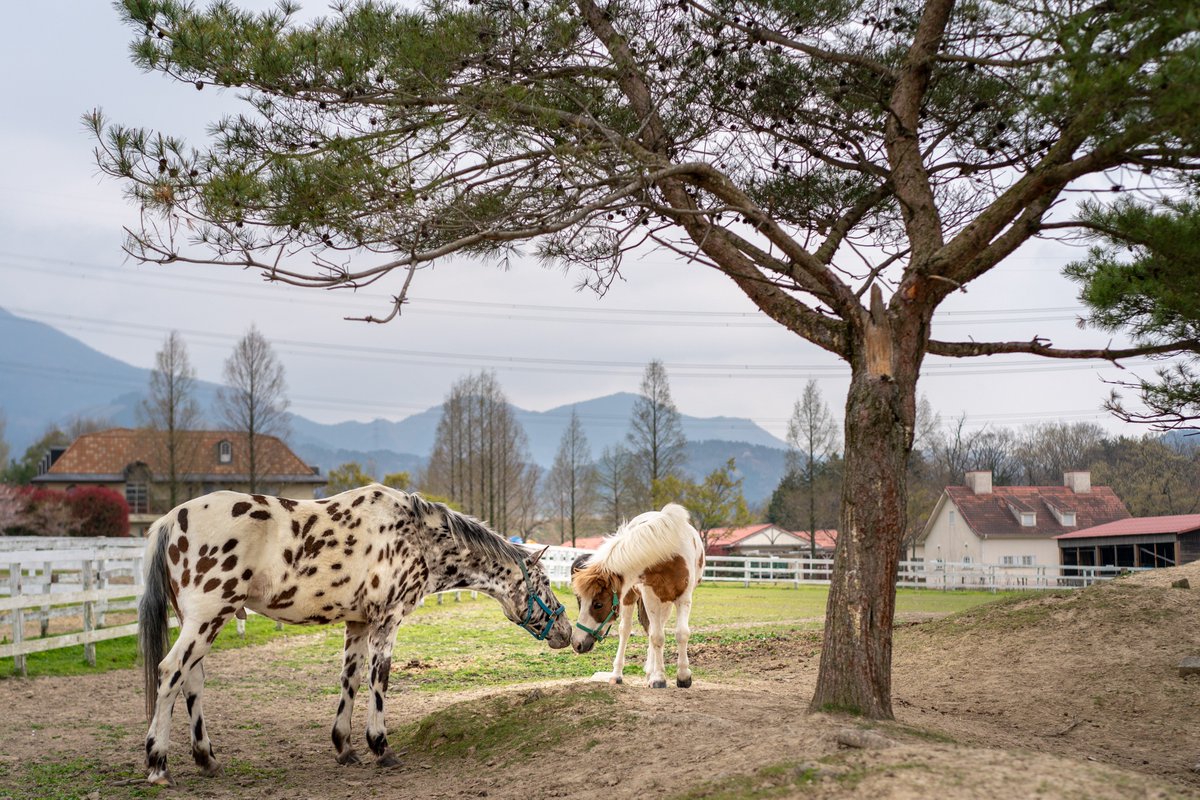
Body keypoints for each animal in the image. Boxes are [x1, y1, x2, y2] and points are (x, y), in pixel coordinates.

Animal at [138, 484, 568, 786]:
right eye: (546, 582)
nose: (565, 631)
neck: (417, 536)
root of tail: (171, 519)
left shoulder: (358, 623)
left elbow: (351, 679)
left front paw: (344, 747)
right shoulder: (388, 619)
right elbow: (380, 678)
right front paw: (381, 747)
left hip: (202, 621)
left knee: (192, 681)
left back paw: (206, 758)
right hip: (208, 617)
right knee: (171, 672)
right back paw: (158, 765)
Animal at [568, 506, 700, 690]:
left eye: (598, 604)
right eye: (580, 601)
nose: (577, 643)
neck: (667, 554)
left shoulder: (684, 597)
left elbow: (681, 633)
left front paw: (683, 676)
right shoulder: (649, 596)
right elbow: (657, 636)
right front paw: (659, 678)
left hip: (665, 602)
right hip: (631, 597)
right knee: (627, 630)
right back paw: (619, 674)